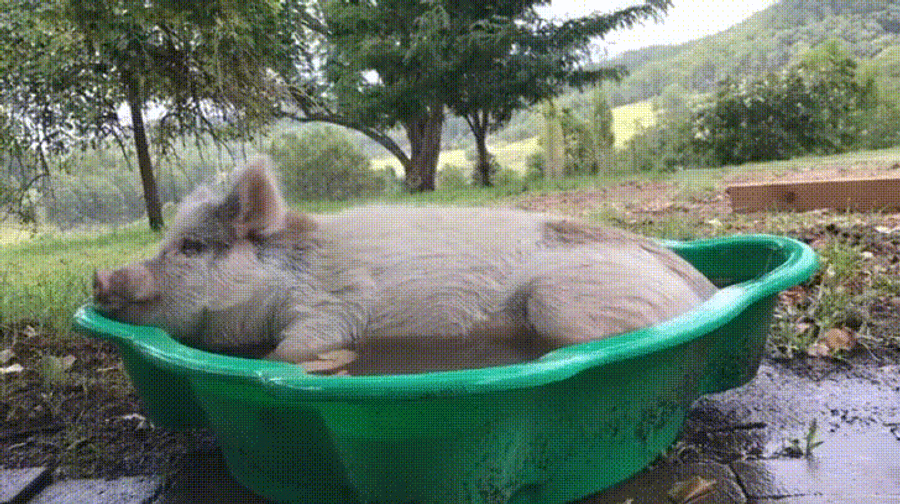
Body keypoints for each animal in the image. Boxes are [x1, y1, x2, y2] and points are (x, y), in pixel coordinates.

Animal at [93, 157, 717, 373]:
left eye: (191, 247)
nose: (100, 277)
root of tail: (704, 290)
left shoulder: (332, 309)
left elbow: (289, 355)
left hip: (566, 302)